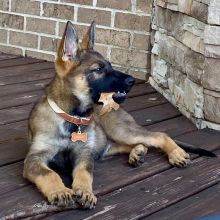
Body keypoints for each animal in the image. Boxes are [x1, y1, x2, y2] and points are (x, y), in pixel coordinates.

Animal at [23, 21, 214, 209]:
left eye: (110, 65)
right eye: (98, 69)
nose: (132, 81)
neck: (72, 117)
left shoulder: (84, 154)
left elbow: (84, 173)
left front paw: (85, 191)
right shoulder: (34, 158)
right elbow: (49, 174)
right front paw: (60, 191)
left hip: (119, 130)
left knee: (159, 135)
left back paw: (176, 153)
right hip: (110, 142)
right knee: (135, 144)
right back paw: (137, 152)